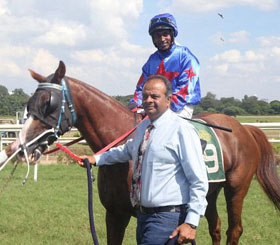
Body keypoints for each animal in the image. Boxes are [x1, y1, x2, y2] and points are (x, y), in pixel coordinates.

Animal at [0, 59, 280, 245]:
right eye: (28, 104)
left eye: (48, 103)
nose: (17, 146)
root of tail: (244, 128)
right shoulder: (115, 214)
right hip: (210, 192)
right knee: (216, 227)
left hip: (236, 188)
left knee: (235, 229)